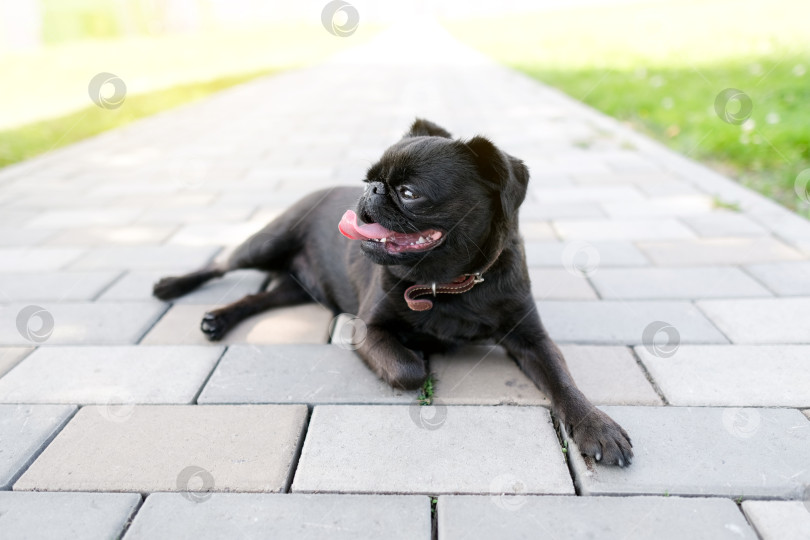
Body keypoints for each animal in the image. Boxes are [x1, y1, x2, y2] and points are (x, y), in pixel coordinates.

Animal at [153, 120, 632, 466]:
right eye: (370, 180)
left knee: (261, 297)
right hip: (267, 241)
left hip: (296, 290)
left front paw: (597, 425)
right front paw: (419, 353)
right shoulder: (367, 330)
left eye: (408, 193)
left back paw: (218, 318)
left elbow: (562, 378)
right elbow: (407, 369)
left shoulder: (531, 337)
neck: (444, 284)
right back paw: (175, 286)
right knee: (222, 264)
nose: (372, 188)